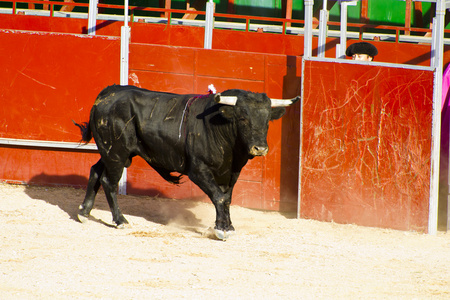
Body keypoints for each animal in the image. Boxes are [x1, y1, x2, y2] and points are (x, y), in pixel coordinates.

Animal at [74, 85, 298, 240]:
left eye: (267, 120)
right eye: (243, 118)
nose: (260, 148)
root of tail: (107, 93)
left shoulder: (232, 173)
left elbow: (226, 198)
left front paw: (228, 226)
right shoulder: (198, 170)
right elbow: (219, 197)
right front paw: (221, 230)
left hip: (109, 152)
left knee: (95, 171)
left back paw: (84, 212)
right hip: (117, 154)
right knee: (109, 181)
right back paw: (120, 221)